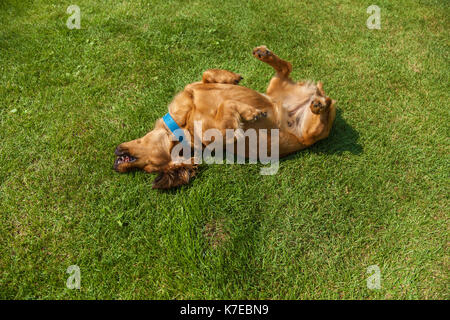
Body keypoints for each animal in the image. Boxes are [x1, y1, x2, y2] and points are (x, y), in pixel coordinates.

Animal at [114, 46, 336, 189]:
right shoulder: (222, 132)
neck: (183, 121)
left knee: (286, 67)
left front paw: (231, 77)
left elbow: (206, 74)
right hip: (309, 132)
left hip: (273, 88)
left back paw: (264, 54)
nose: (116, 165)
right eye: (150, 169)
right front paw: (250, 113)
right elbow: (226, 105)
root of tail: (313, 94)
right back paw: (318, 105)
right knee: (321, 107)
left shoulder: (196, 86)